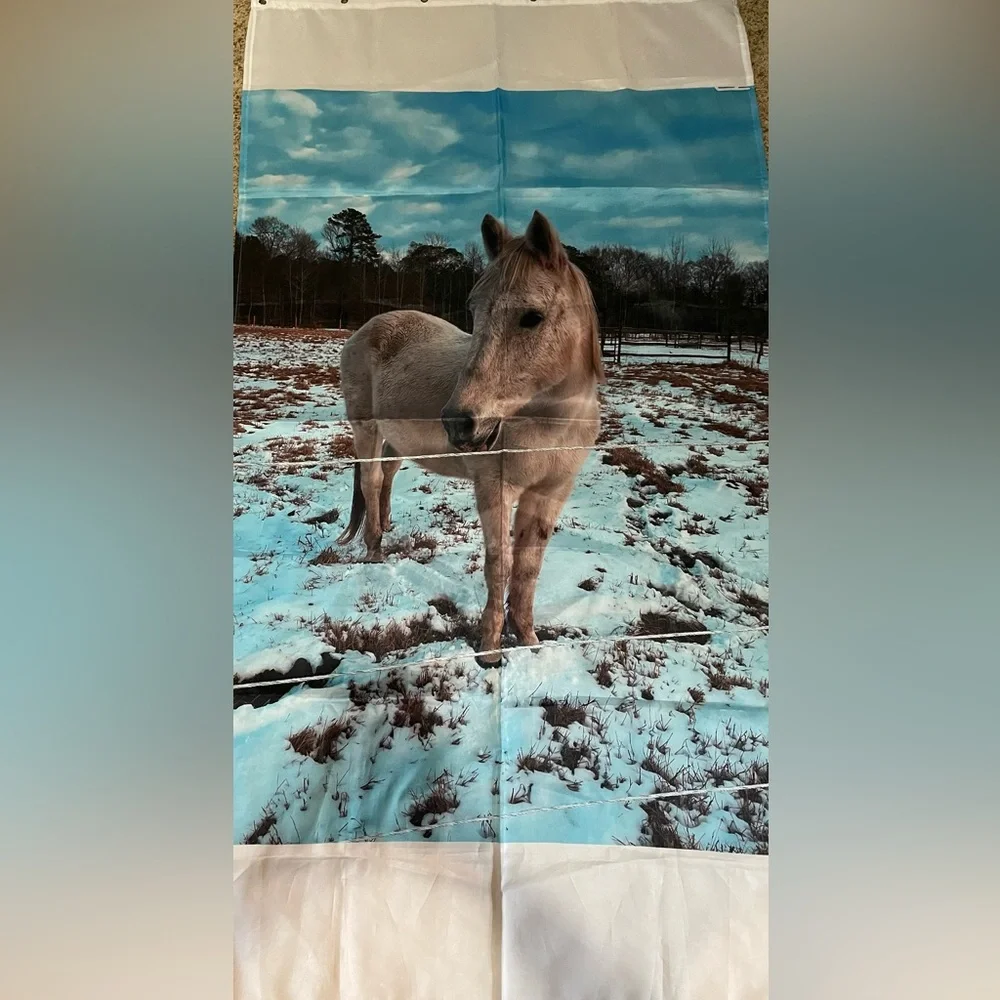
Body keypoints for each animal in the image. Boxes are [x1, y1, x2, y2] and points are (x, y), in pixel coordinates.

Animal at [336, 210, 604, 664]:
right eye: (473, 310)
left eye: (532, 316)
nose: (459, 423)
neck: (548, 422)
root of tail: (366, 329)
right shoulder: (495, 488)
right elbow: (499, 564)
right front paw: (491, 650)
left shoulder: (550, 493)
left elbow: (529, 568)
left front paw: (528, 639)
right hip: (366, 428)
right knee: (371, 482)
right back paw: (374, 550)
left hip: (395, 440)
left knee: (386, 478)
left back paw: (386, 530)